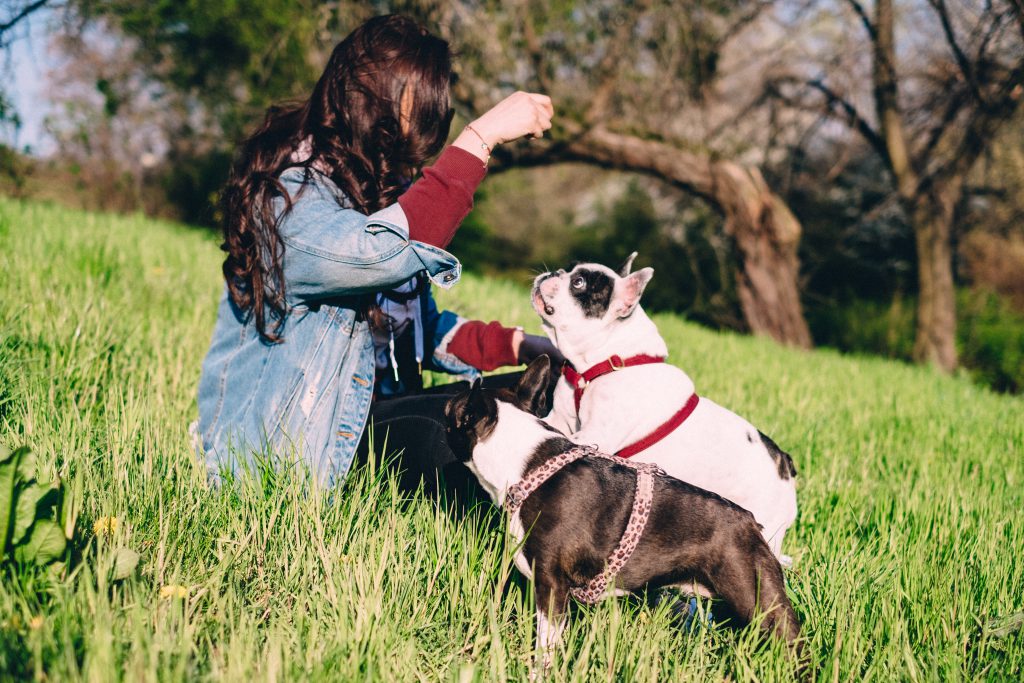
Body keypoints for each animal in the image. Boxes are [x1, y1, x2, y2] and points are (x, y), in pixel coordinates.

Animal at [536, 255, 798, 561]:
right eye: (568, 268)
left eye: (578, 283)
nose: (553, 273)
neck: (603, 364)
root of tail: (785, 464)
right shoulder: (561, 418)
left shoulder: (595, 435)